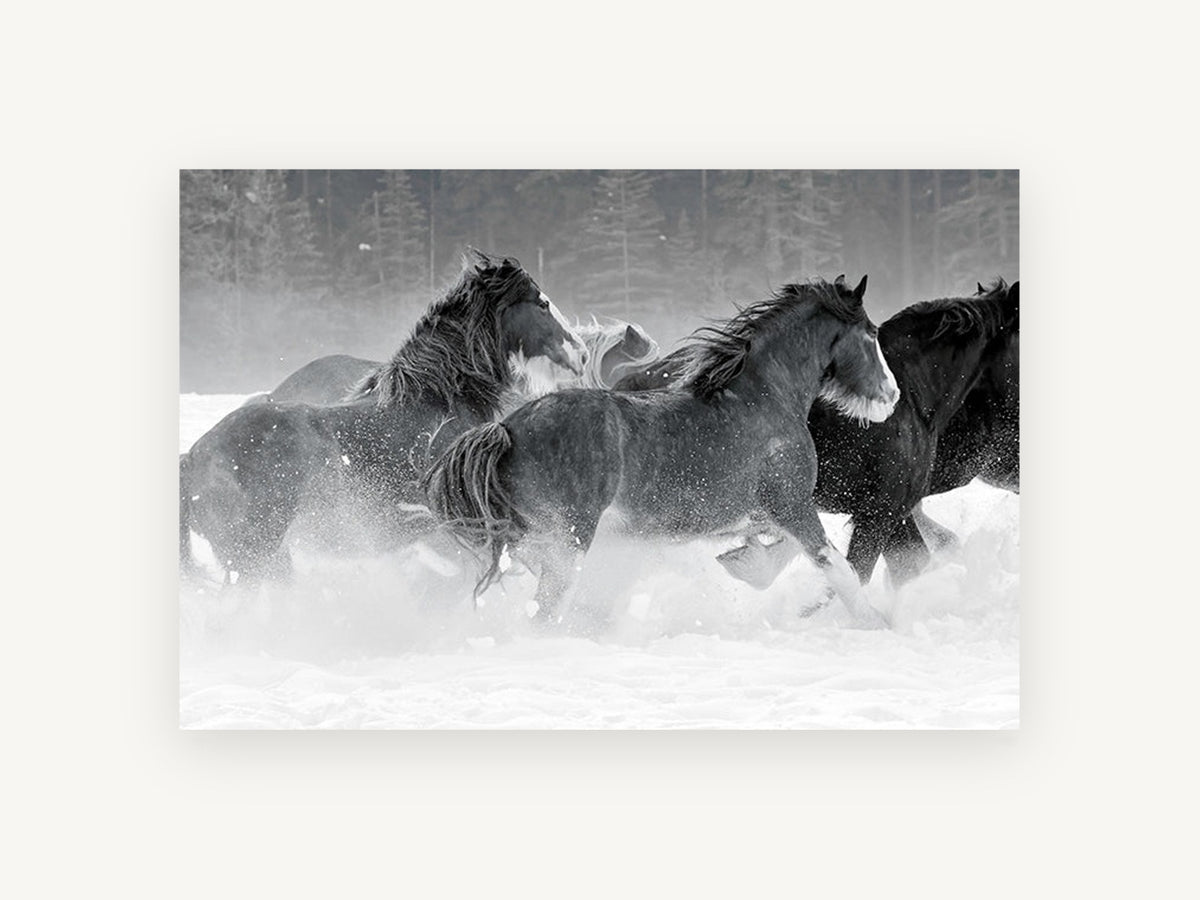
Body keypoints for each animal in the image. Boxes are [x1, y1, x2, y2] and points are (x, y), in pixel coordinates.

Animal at [421, 275, 901, 628]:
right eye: (871, 334)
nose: (892, 395)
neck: (764, 397)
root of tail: (506, 429)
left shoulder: (765, 512)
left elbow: (783, 552)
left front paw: (747, 564)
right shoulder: (791, 504)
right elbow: (836, 566)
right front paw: (875, 623)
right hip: (569, 539)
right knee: (544, 608)